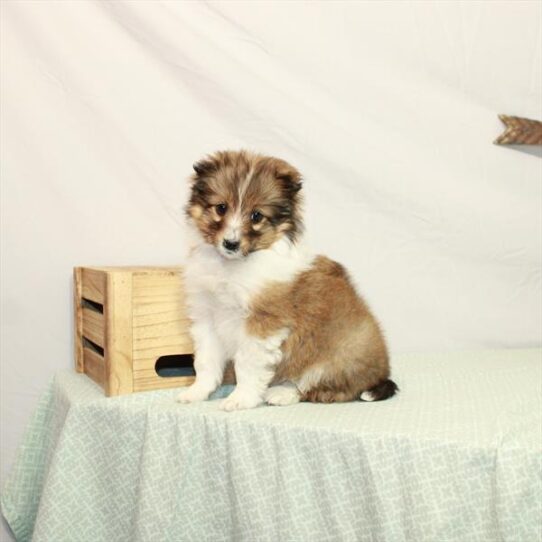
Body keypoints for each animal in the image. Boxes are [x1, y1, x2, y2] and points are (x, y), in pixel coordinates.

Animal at [178, 151, 400, 410]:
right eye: (221, 208)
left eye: (257, 216)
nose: (230, 244)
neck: (232, 267)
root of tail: (380, 374)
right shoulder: (207, 316)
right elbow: (205, 361)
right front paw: (196, 392)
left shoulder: (262, 324)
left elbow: (247, 365)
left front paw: (240, 399)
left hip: (337, 354)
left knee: (320, 388)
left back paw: (280, 393)